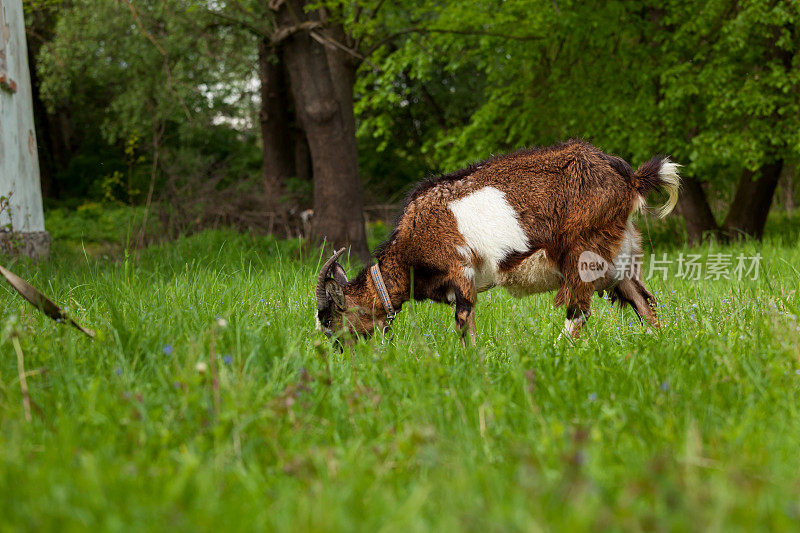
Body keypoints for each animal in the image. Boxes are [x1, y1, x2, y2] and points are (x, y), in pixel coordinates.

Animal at [316, 138, 680, 344]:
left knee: (578, 310)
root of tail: (628, 178)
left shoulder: (459, 266)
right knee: (644, 302)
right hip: (621, 255)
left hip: (584, 248)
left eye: (332, 320)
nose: (338, 352)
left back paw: (554, 352)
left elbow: (464, 319)